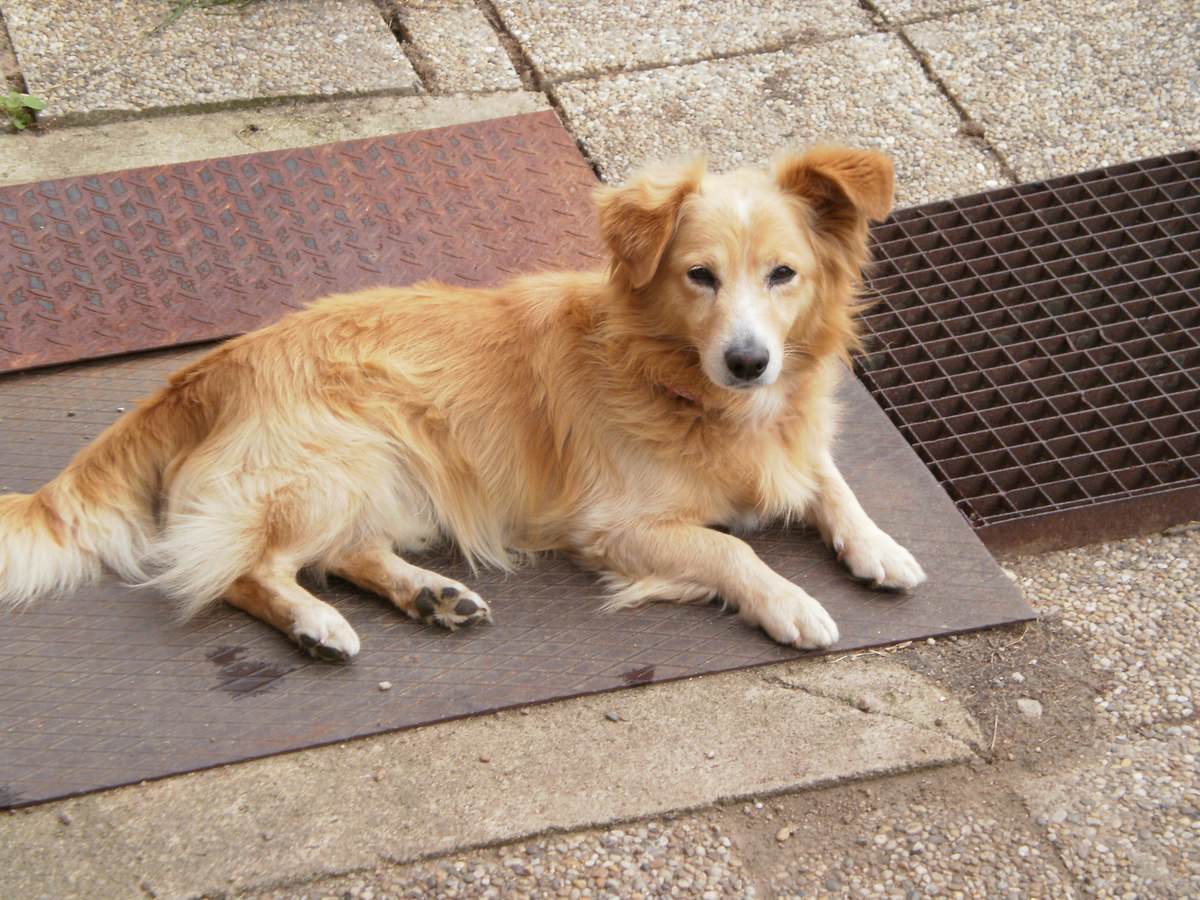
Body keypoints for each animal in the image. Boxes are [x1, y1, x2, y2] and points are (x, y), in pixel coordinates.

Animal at [0, 146, 926, 662]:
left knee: (345, 551)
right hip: (338, 460)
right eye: (699, 275)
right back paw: (316, 626)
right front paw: (791, 601)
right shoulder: (612, 525)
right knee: (238, 570)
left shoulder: (793, 446)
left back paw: (429, 595)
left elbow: (830, 480)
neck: (680, 380)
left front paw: (880, 546)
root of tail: (207, 370)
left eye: (783, 275)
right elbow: (731, 551)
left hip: (384, 476)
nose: (748, 360)